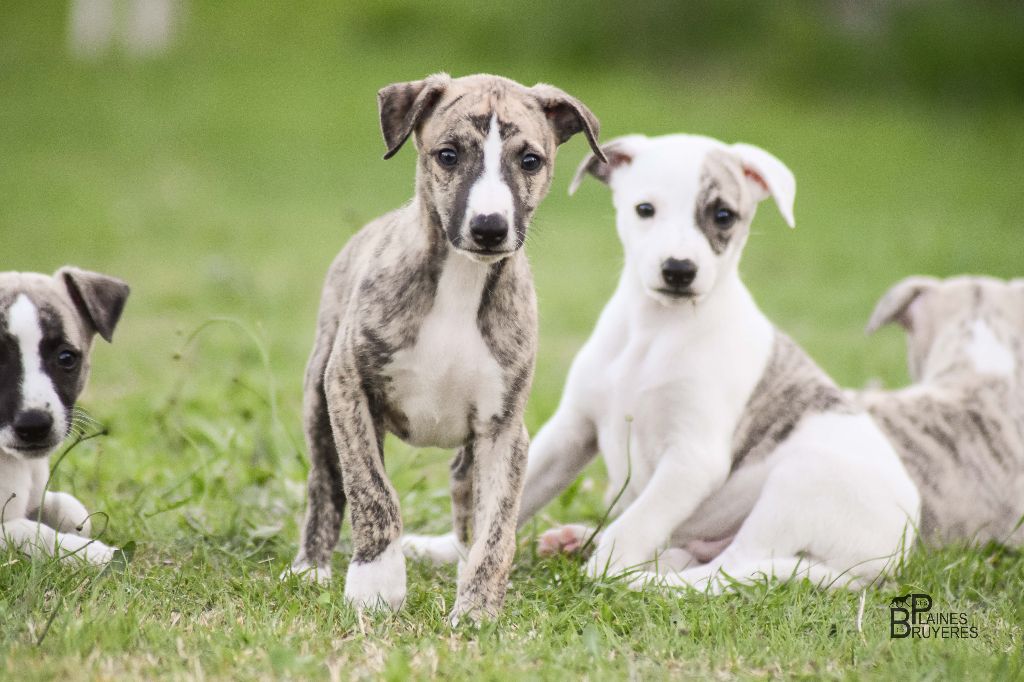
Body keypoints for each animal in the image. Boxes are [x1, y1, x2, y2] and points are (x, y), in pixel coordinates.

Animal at [284, 73, 604, 622]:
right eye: (448, 155)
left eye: (530, 160)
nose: (490, 227)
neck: (461, 279)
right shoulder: (349, 388)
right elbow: (372, 492)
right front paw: (376, 584)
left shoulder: (503, 428)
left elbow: (496, 531)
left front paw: (476, 609)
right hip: (318, 398)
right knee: (325, 482)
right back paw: (311, 566)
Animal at [511, 133, 920, 592]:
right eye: (644, 209)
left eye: (724, 216)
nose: (678, 270)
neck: (656, 330)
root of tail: (891, 560)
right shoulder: (571, 428)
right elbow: (520, 491)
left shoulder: (693, 459)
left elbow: (636, 523)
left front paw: (606, 568)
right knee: (697, 555)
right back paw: (579, 541)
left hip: (800, 482)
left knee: (730, 569)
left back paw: (639, 579)